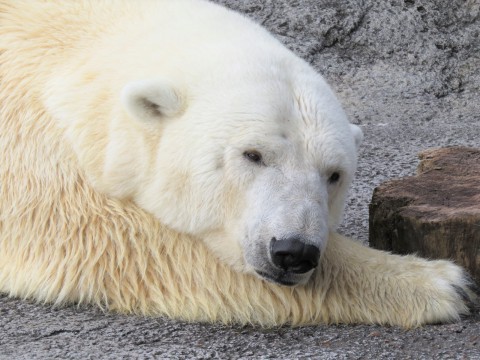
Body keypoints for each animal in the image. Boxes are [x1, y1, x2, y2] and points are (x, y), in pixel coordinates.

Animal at [0, 0, 476, 326]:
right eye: (253, 154)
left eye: (334, 175)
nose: (294, 252)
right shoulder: (30, 145)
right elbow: (116, 240)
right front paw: (440, 283)